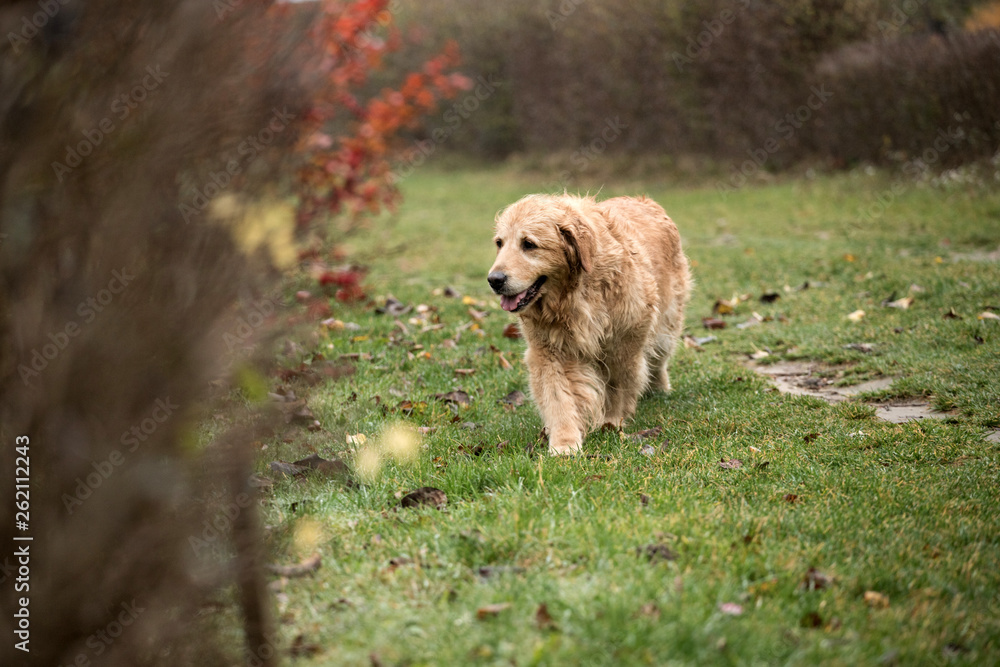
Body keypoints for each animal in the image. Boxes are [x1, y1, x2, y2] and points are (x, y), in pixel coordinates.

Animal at [488, 193, 692, 454]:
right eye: (499, 243)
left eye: (529, 244)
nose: (494, 280)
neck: (573, 294)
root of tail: (644, 199)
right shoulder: (548, 351)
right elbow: (558, 397)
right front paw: (564, 442)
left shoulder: (623, 347)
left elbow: (617, 388)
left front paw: (612, 422)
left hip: (666, 325)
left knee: (658, 361)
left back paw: (659, 388)